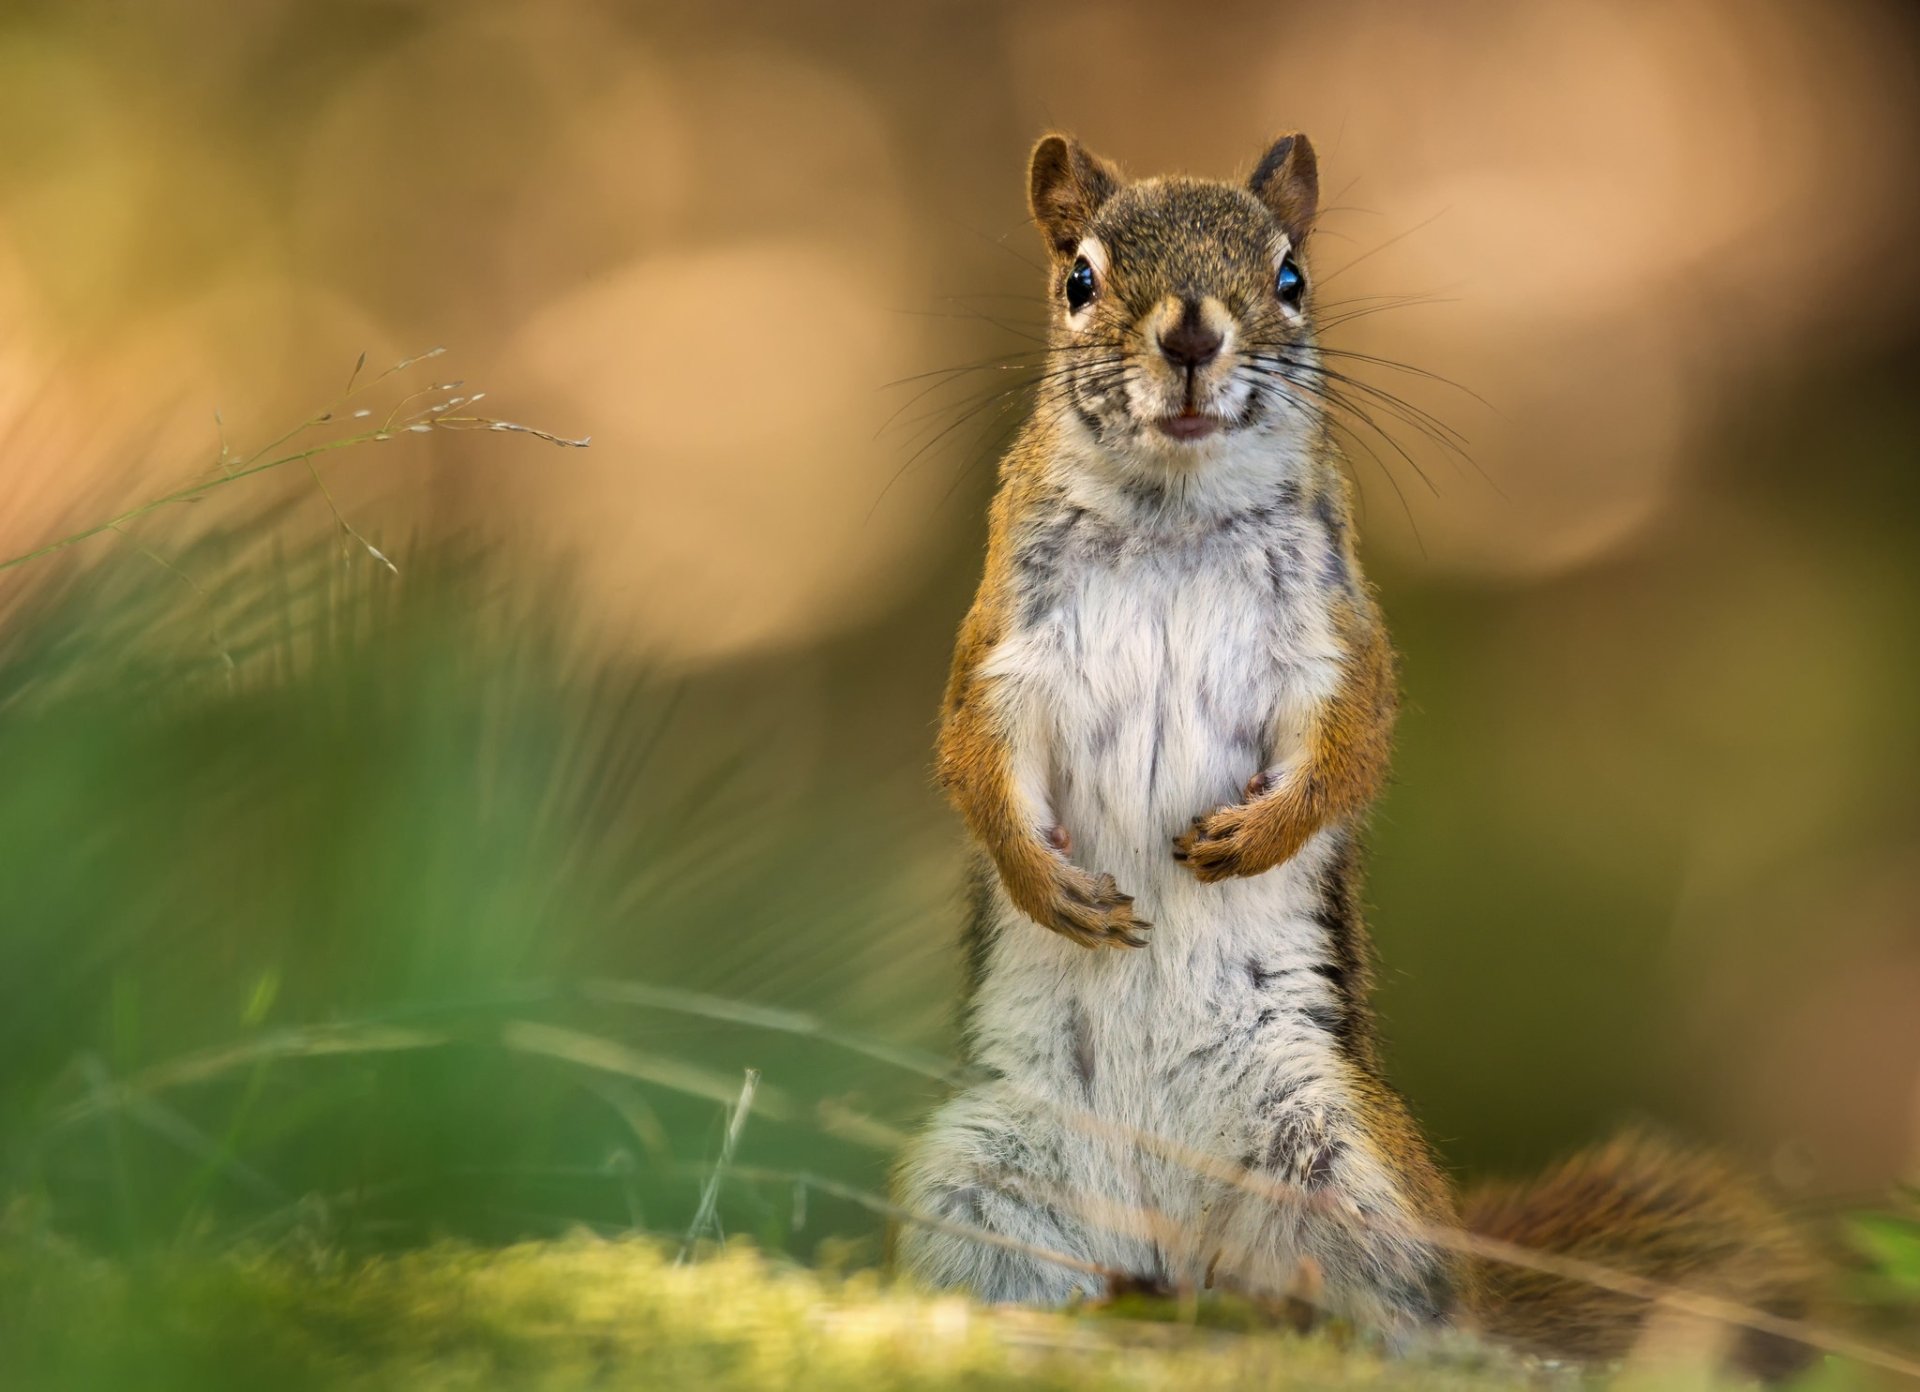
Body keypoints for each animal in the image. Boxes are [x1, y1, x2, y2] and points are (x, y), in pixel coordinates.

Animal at [892, 132, 1822, 1379]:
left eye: (1292, 277)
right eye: (1078, 278)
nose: (1193, 335)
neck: (1174, 516)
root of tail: (1164, 1256)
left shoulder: (1340, 646)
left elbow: (1353, 752)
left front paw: (1259, 836)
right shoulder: (1003, 649)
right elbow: (969, 761)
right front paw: (1048, 885)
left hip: (1340, 1158)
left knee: (1393, 1303)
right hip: (978, 1178)